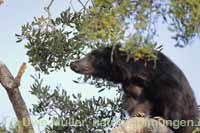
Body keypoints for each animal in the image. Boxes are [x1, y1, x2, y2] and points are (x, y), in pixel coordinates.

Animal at [70, 46, 198, 132]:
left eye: (91, 56)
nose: (73, 64)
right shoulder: (133, 83)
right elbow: (136, 98)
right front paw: (138, 113)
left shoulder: (163, 76)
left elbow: (172, 97)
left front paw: (164, 119)